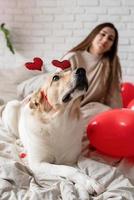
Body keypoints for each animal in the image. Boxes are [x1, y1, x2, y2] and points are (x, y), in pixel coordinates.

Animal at [0, 68, 104, 196]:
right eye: (55, 78)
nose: (82, 70)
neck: (60, 122)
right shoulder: (38, 163)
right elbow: (69, 170)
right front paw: (89, 182)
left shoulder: (70, 160)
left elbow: (76, 169)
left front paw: (84, 184)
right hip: (12, 107)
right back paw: (20, 141)